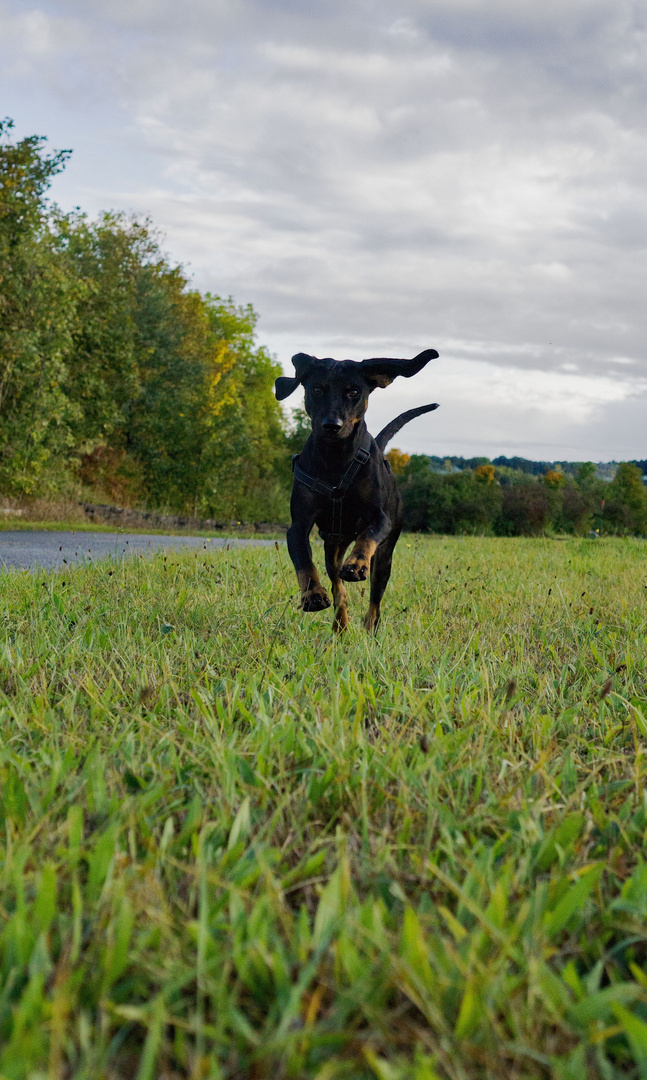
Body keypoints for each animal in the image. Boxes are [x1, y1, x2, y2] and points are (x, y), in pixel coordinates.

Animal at [275, 345, 438, 630]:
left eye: (354, 392)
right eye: (317, 389)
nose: (332, 425)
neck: (336, 458)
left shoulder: (380, 518)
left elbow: (368, 535)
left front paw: (357, 563)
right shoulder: (299, 524)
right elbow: (303, 559)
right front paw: (313, 595)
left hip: (385, 556)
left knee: (375, 600)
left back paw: (370, 626)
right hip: (333, 546)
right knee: (338, 588)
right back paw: (340, 624)